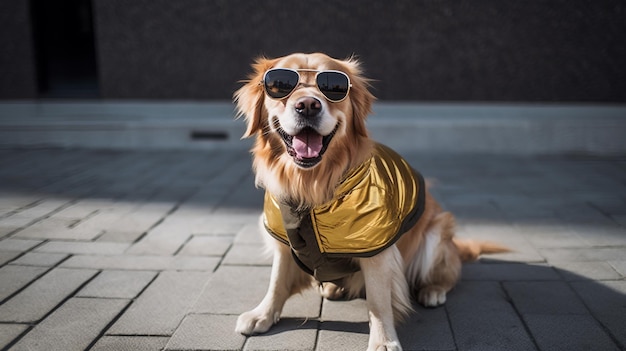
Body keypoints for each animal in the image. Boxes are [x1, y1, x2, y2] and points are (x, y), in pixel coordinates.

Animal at [232, 52, 504, 351]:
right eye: (280, 85)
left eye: (334, 87)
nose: (308, 106)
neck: (312, 185)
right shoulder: (282, 236)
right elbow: (277, 280)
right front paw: (263, 314)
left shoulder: (375, 245)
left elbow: (378, 299)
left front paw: (383, 339)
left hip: (436, 234)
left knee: (450, 274)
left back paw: (433, 290)